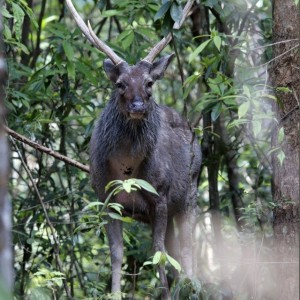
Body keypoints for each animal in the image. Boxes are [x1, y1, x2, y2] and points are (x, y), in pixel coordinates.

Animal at [66, 0, 202, 298]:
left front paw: (164, 294)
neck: (127, 167)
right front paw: (115, 292)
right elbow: (116, 253)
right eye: (120, 84)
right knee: (176, 250)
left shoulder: (160, 195)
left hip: (190, 193)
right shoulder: (106, 197)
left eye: (149, 83)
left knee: (187, 248)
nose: (138, 106)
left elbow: (158, 253)